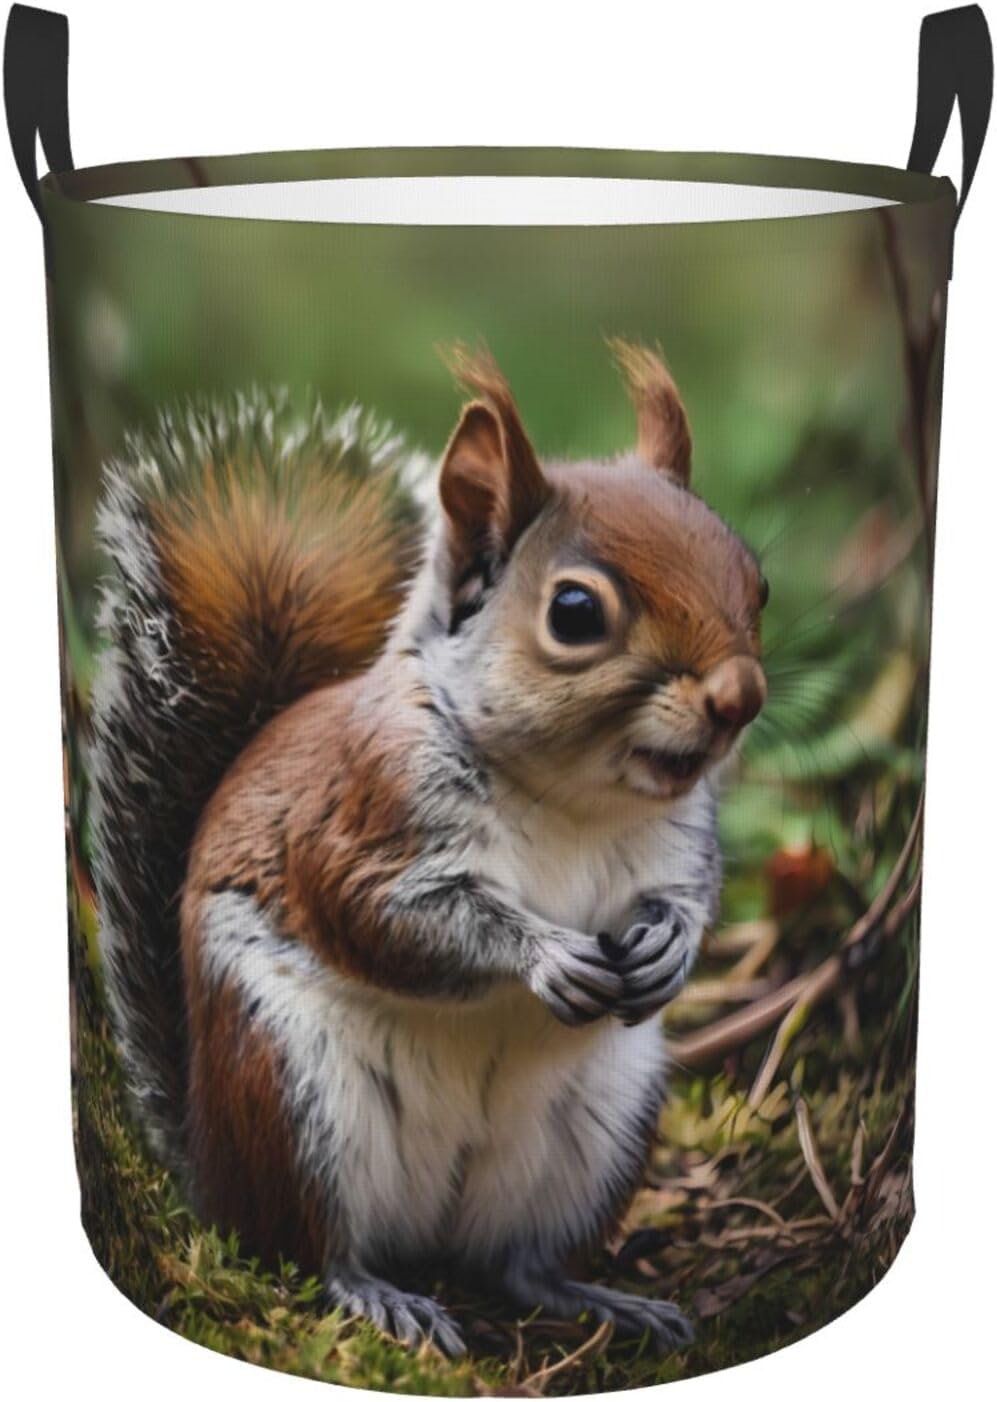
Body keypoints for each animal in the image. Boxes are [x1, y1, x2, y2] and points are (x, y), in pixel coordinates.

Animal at [91, 343, 767, 1358]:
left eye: (755, 580)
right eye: (575, 611)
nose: (741, 696)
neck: (567, 799)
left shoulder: (681, 846)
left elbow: (690, 899)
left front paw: (670, 949)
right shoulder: (365, 815)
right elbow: (385, 917)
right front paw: (545, 954)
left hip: (596, 1128)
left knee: (517, 1264)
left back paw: (600, 1299)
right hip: (293, 1094)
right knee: (308, 1247)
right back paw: (377, 1294)